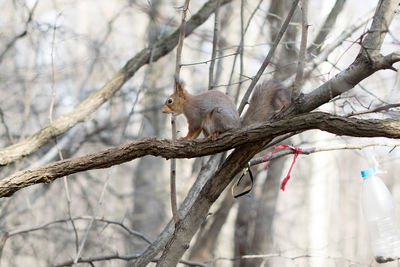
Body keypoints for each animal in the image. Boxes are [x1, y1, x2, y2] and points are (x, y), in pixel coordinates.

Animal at [162, 79, 290, 140]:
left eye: (170, 101)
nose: (162, 111)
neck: (186, 102)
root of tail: (238, 125)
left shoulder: (194, 116)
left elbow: (192, 129)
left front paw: (185, 138)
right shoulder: (199, 123)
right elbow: (195, 133)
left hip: (219, 114)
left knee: (226, 129)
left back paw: (217, 133)